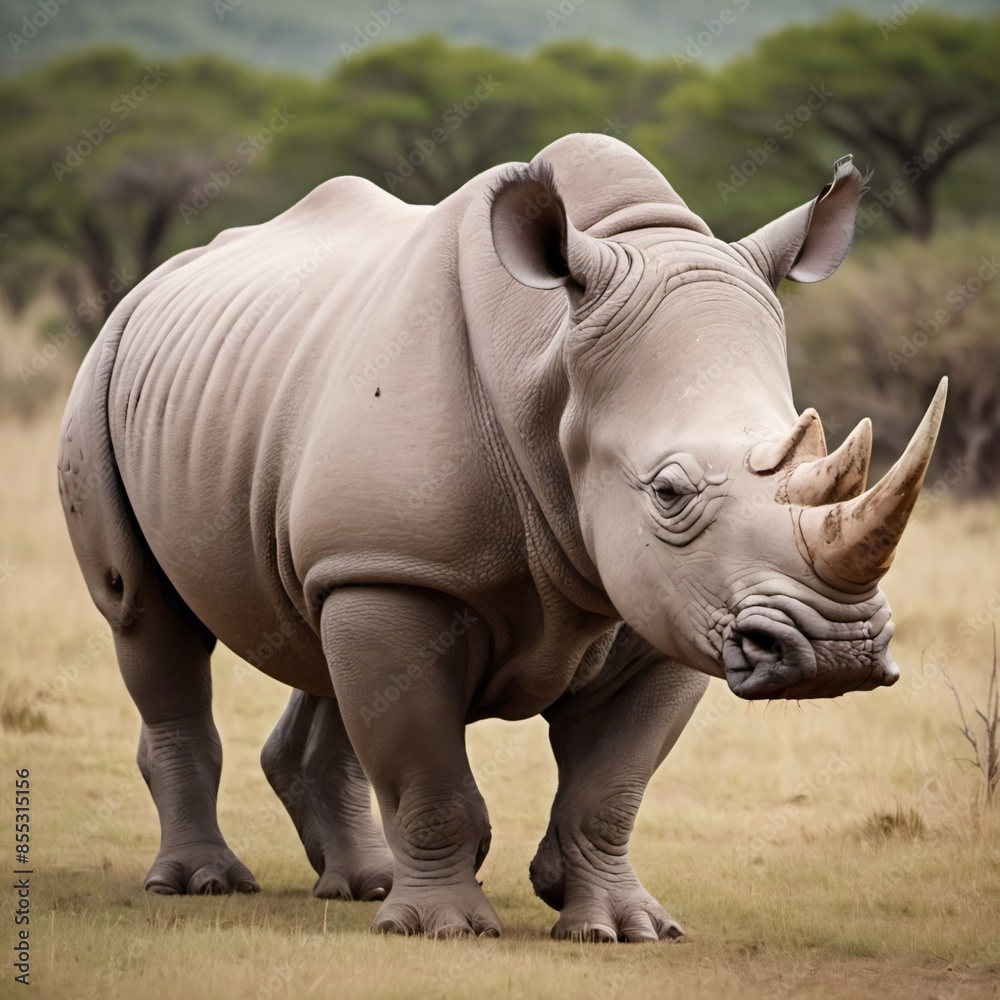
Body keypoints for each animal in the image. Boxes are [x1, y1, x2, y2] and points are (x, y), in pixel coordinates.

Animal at [58, 133, 945, 942]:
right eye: (668, 492)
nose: (836, 653)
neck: (552, 360)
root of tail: (159, 278)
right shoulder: (405, 569)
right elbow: (427, 770)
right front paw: (442, 928)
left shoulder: (674, 606)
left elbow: (610, 788)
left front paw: (622, 927)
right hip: (107, 371)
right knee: (144, 613)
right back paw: (204, 883)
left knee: (318, 627)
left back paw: (361, 884)